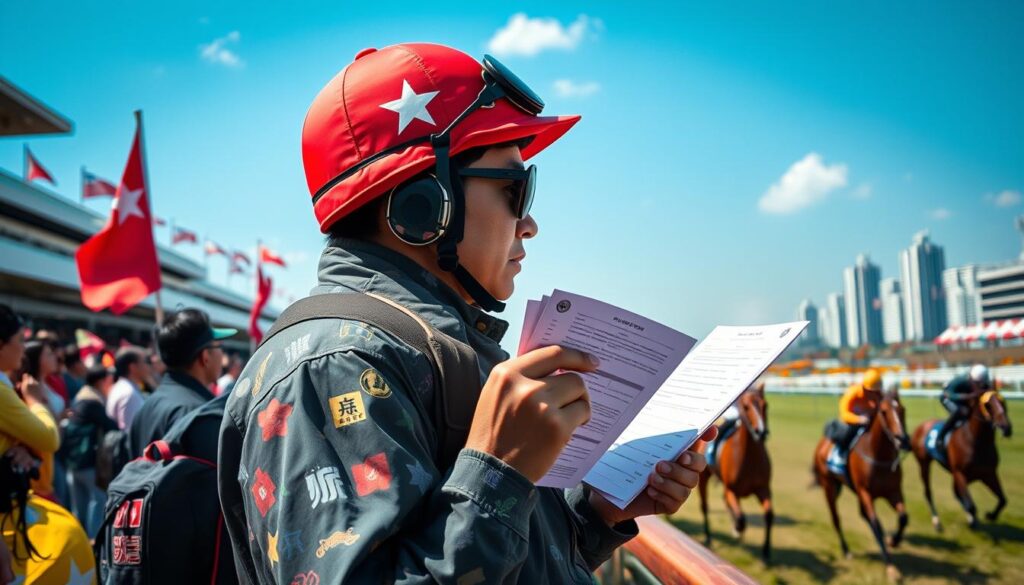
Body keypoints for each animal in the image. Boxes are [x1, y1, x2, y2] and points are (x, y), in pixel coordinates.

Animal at [700, 385, 770, 561]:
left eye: (765, 405)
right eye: (746, 406)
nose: (761, 432)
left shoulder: (763, 489)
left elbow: (769, 514)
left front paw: (766, 552)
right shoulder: (731, 489)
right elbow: (741, 518)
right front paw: (737, 529)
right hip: (703, 477)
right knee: (704, 506)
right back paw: (709, 538)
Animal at [815, 389, 913, 581]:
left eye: (903, 409)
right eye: (883, 411)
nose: (902, 440)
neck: (878, 455)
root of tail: (822, 442)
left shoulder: (893, 491)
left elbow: (903, 517)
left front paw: (893, 540)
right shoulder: (866, 492)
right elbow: (875, 523)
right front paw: (891, 567)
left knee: (863, 514)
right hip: (829, 486)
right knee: (836, 519)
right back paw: (846, 550)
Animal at [913, 393, 1007, 532]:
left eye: (1004, 403)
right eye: (987, 405)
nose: (1007, 427)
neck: (977, 441)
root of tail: (920, 426)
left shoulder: (988, 474)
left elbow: (1002, 499)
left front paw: (990, 515)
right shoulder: (960, 473)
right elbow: (971, 506)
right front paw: (973, 520)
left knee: (956, 493)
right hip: (924, 464)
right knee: (928, 492)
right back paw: (937, 521)